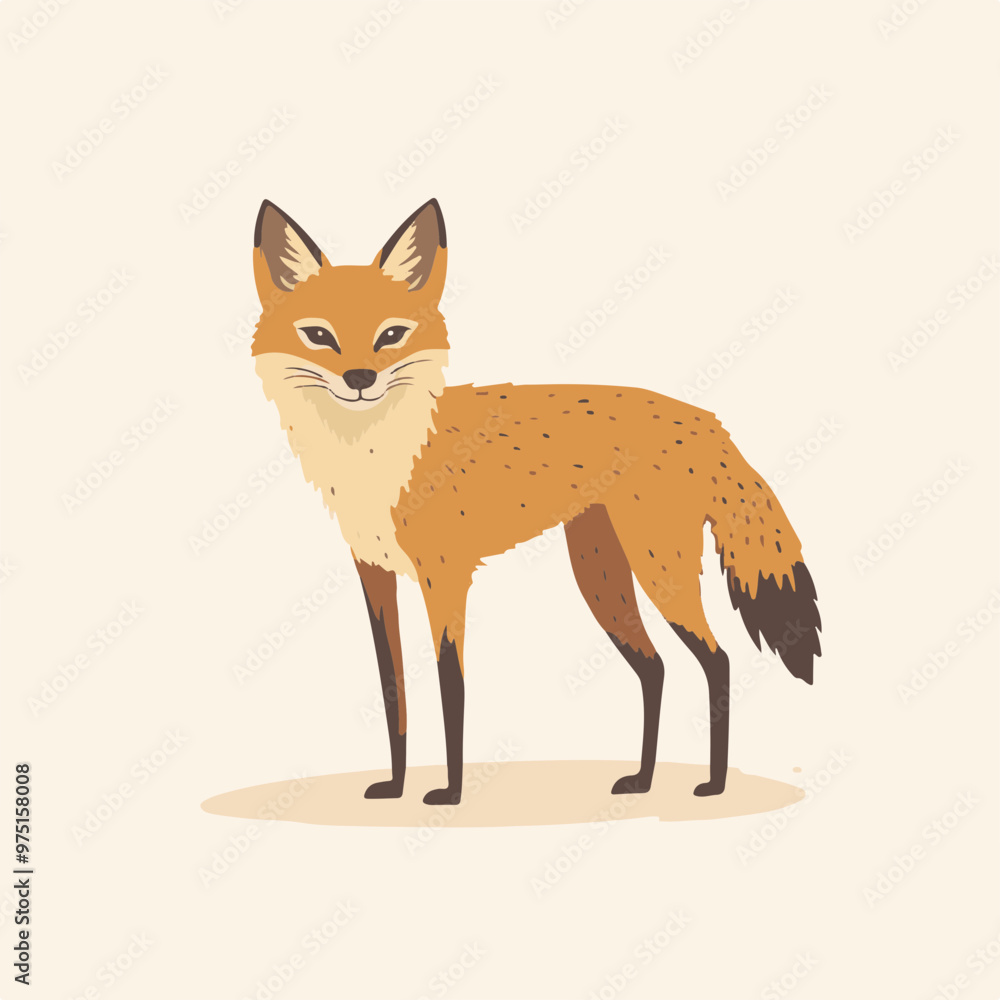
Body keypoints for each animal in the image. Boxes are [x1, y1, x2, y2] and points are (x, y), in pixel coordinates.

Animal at [250, 197, 821, 806]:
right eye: (318, 335)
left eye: (392, 335)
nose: (361, 377)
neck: (382, 456)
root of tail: (705, 418)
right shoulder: (374, 574)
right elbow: (392, 691)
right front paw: (395, 786)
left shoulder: (444, 578)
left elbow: (451, 687)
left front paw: (450, 794)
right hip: (601, 579)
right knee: (655, 668)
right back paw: (642, 780)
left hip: (657, 573)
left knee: (718, 661)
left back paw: (712, 784)